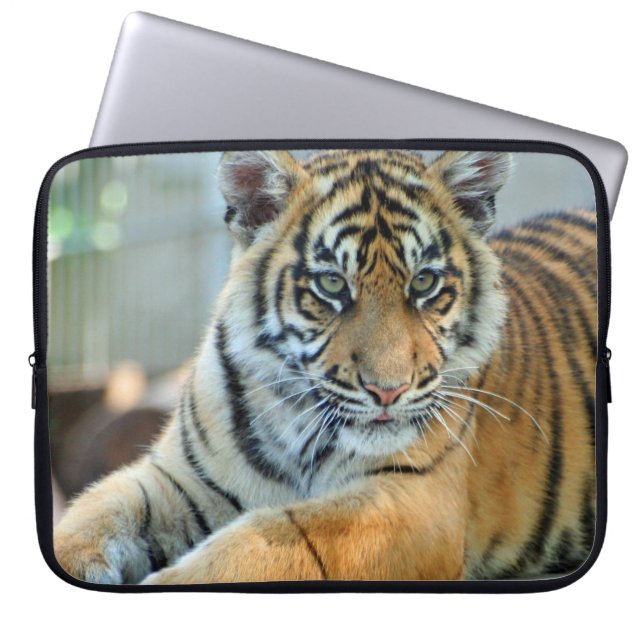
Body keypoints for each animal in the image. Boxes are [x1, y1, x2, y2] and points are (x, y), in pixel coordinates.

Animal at [53, 148, 597, 584]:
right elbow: (96, 509)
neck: (295, 418)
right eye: (332, 284)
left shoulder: (411, 501)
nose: (388, 391)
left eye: (423, 283)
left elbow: (270, 538)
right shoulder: (180, 480)